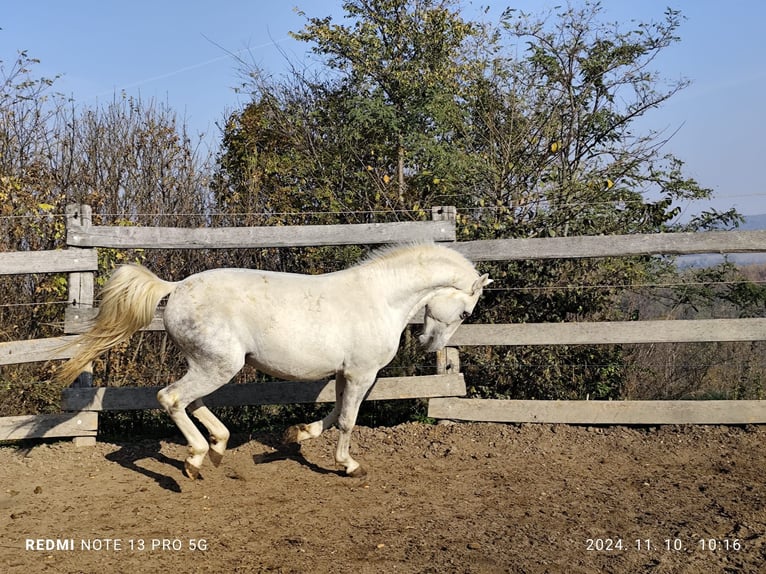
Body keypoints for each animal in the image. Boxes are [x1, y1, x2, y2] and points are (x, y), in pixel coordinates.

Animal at [58, 244, 492, 482]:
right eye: (466, 313)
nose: (429, 344)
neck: (380, 299)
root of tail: (177, 287)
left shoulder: (344, 374)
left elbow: (334, 412)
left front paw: (298, 435)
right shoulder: (361, 373)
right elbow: (348, 419)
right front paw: (349, 466)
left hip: (209, 364)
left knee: (192, 401)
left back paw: (218, 447)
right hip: (219, 365)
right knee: (172, 398)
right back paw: (195, 460)